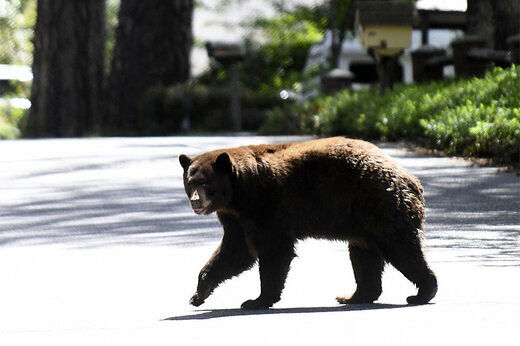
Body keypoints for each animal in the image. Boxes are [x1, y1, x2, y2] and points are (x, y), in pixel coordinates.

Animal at [177, 137, 436, 310]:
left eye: (207, 183)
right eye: (190, 182)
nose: (196, 201)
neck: (239, 194)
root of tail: (411, 179)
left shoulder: (266, 206)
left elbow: (274, 250)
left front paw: (256, 300)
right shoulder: (235, 218)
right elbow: (235, 251)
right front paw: (198, 293)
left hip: (378, 202)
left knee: (400, 248)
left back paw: (422, 291)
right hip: (362, 219)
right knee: (365, 255)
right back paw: (354, 295)